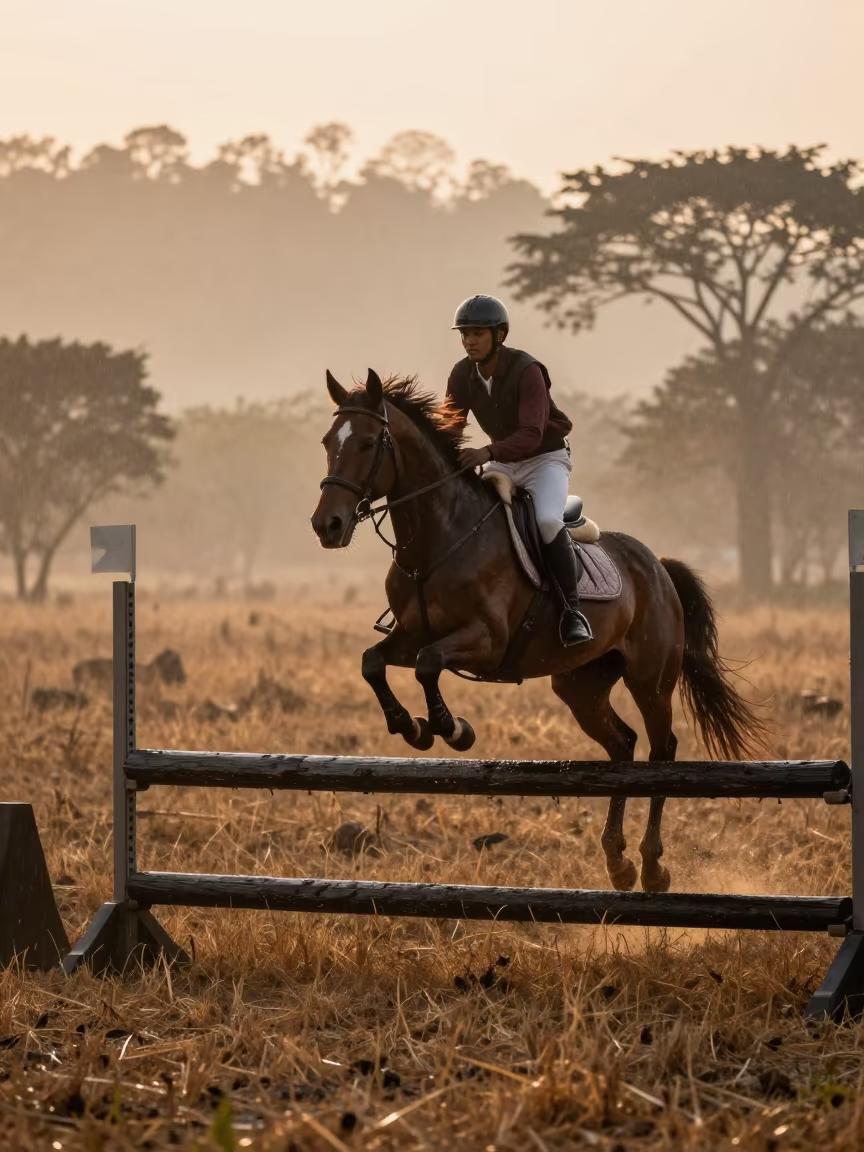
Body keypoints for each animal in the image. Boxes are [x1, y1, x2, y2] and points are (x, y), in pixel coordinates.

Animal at [311, 369, 766, 893]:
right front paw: (411, 726)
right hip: (580, 685)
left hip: (651, 680)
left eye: (368, 443)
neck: (438, 536)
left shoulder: (486, 641)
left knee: (661, 751)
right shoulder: (411, 634)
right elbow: (373, 662)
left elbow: (428, 666)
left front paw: (452, 729)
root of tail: (656, 565)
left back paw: (652, 866)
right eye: (328, 441)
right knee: (622, 746)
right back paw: (618, 862)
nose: (327, 525)